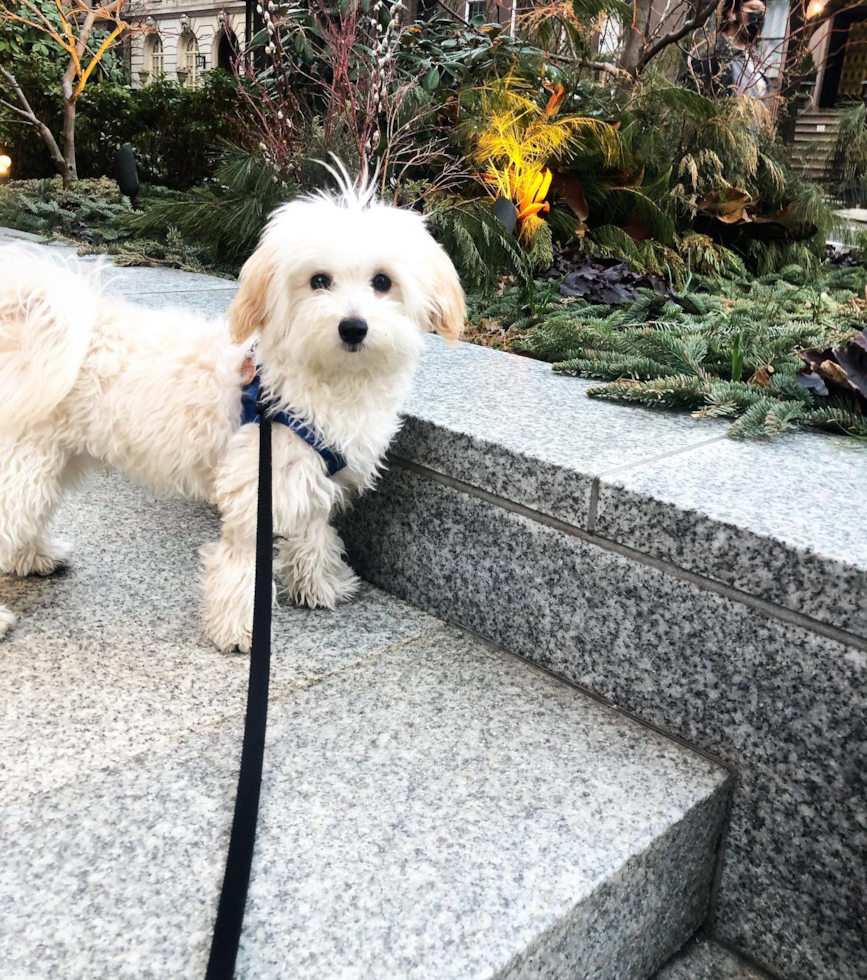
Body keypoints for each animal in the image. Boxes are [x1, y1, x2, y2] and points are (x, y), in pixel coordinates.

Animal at [0, 189, 464, 652]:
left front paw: (320, 585)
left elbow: (313, 533)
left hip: (47, 461)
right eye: (319, 280)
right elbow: (246, 560)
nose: (353, 327)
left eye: (383, 281)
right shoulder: (255, 485)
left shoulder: (313, 477)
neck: (321, 382)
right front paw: (242, 629)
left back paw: (35, 557)